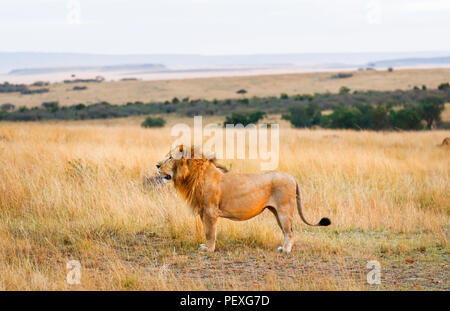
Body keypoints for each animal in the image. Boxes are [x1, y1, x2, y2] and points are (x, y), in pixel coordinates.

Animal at [156, 146, 330, 254]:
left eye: (170, 157)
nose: (156, 165)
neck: (193, 175)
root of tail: (292, 178)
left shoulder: (210, 211)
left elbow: (210, 232)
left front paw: (208, 249)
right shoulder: (204, 211)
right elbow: (207, 231)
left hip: (284, 211)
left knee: (290, 233)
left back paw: (286, 251)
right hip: (277, 212)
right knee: (288, 232)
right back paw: (283, 248)